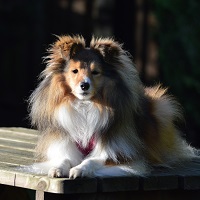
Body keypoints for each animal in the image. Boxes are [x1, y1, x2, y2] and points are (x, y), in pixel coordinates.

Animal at [28, 34, 196, 178]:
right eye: (74, 71)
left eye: (95, 72)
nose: (84, 85)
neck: (86, 105)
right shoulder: (65, 145)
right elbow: (64, 158)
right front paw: (57, 168)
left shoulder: (122, 153)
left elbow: (93, 159)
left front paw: (79, 169)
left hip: (162, 108)